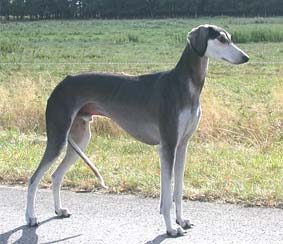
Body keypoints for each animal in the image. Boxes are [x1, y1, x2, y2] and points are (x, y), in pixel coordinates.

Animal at [25, 24, 250, 236]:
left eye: (230, 38)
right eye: (221, 39)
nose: (245, 57)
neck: (185, 84)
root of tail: (61, 83)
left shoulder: (182, 146)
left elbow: (177, 190)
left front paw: (181, 220)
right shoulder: (167, 146)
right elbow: (167, 196)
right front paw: (171, 228)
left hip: (80, 139)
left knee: (56, 175)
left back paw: (59, 210)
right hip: (58, 138)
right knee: (34, 178)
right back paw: (31, 217)